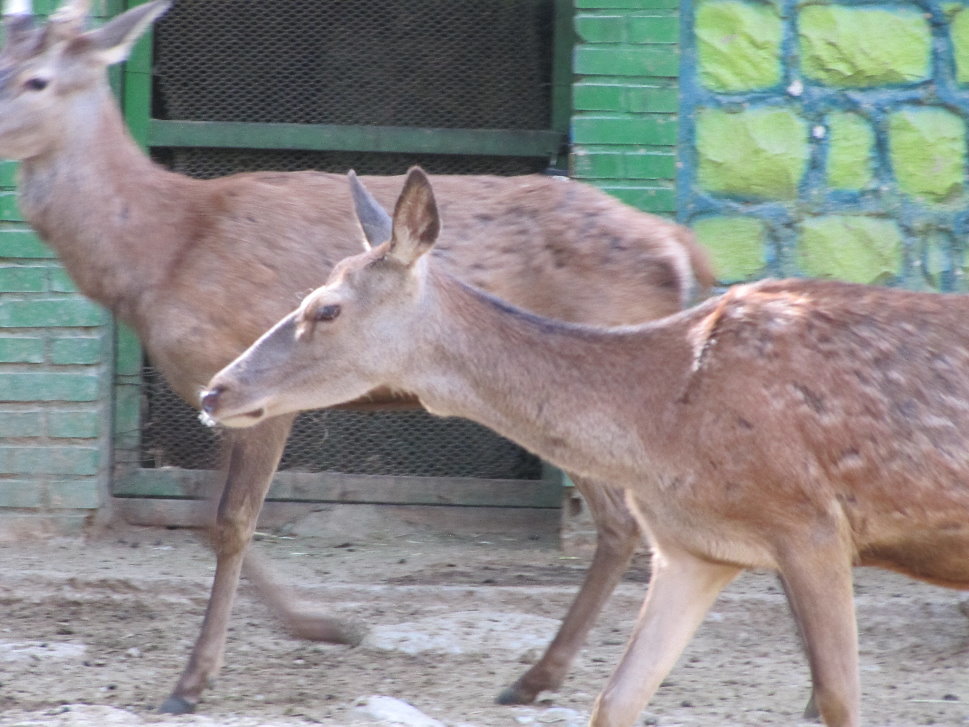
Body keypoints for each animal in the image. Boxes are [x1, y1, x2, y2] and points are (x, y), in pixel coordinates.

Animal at [0, 0, 719, 714]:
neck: (160, 256)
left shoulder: (258, 391)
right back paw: (540, 674)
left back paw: (538, 674)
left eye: (36, 80)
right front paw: (322, 625)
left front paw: (193, 681)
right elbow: (207, 518)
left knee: (620, 520)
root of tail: (680, 245)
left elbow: (232, 522)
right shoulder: (221, 391)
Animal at [201, 167, 969, 727]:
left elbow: (841, 699)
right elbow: (616, 699)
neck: (663, 419)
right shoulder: (693, 551)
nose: (215, 389)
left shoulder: (812, 526)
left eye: (324, 308)